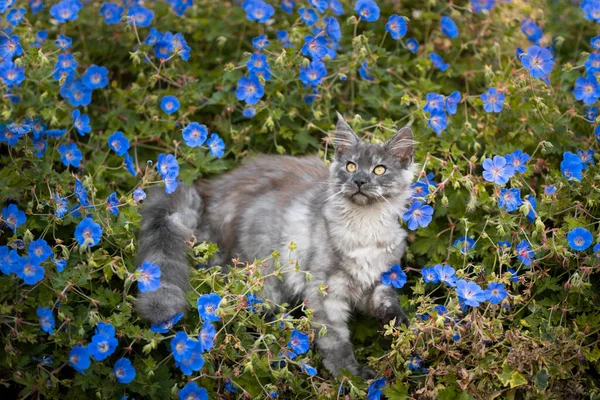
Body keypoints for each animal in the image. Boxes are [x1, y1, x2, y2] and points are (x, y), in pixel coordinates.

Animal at [138, 112, 414, 378]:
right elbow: (335, 339)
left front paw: (400, 324)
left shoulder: (379, 278)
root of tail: (208, 191)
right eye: (351, 166)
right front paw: (349, 374)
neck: (364, 227)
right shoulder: (323, 292)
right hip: (261, 274)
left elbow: (387, 302)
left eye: (379, 170)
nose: (359, 180)